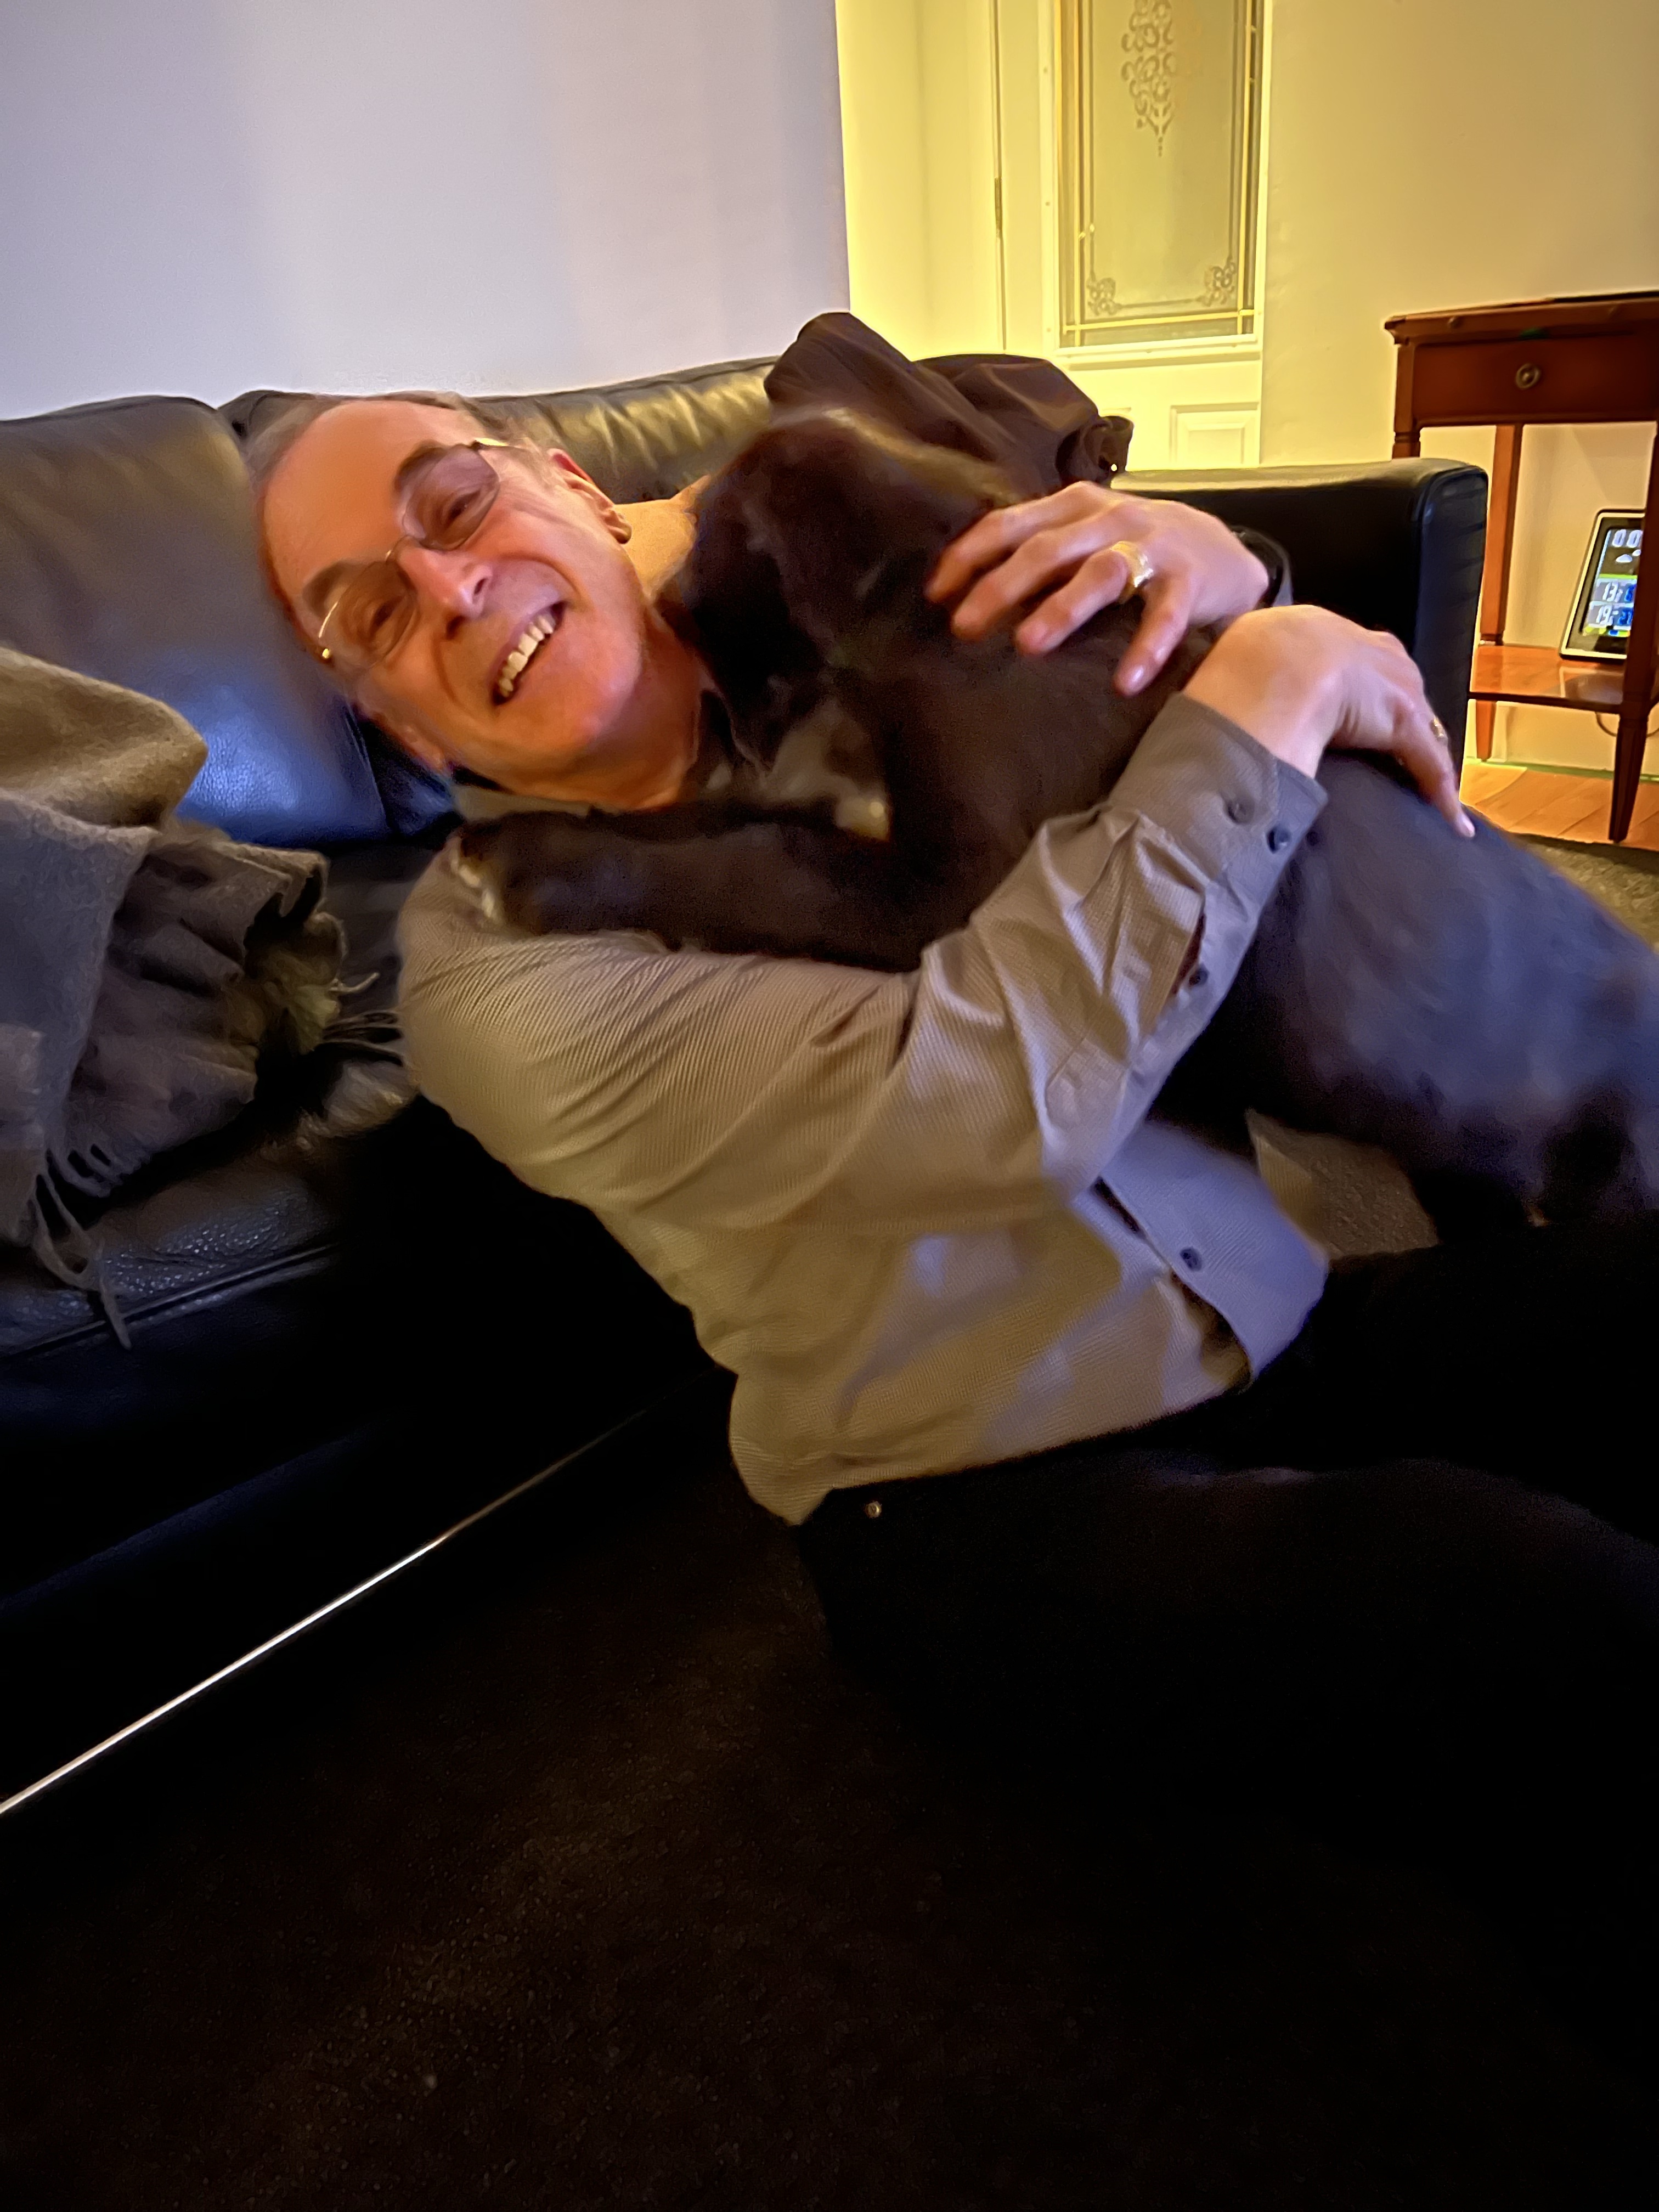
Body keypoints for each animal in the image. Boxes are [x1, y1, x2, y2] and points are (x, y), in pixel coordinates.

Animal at [458, 410, 1659, 1233]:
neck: (926, 599)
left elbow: (759, 865)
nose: (660, 609)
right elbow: (722, 831)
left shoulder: (950, 888)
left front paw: (532, 863)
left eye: (709, 550)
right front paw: (528, 836)